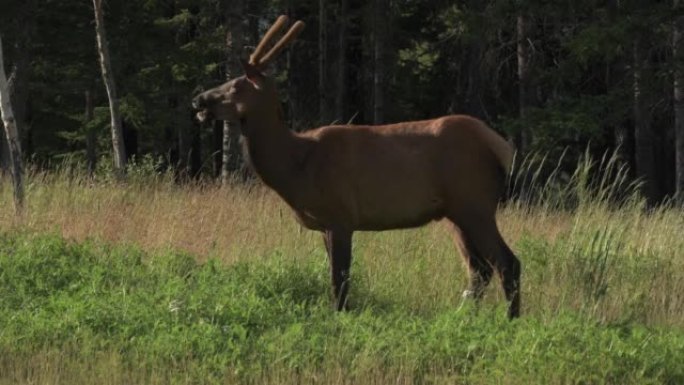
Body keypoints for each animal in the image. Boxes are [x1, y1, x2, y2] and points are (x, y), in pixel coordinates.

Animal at [190, 15, 520, 318]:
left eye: (235, 86)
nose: (198, 100)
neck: (296, 167)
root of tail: (502, 148)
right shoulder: (325, 223)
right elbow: (337, 279)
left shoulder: (341, 215)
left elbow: (340, 282)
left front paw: (339, 319)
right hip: (454, 213)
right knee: (479, 269)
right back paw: (462, 315)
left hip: (475, 202)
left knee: (507, 262)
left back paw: (510, 320)